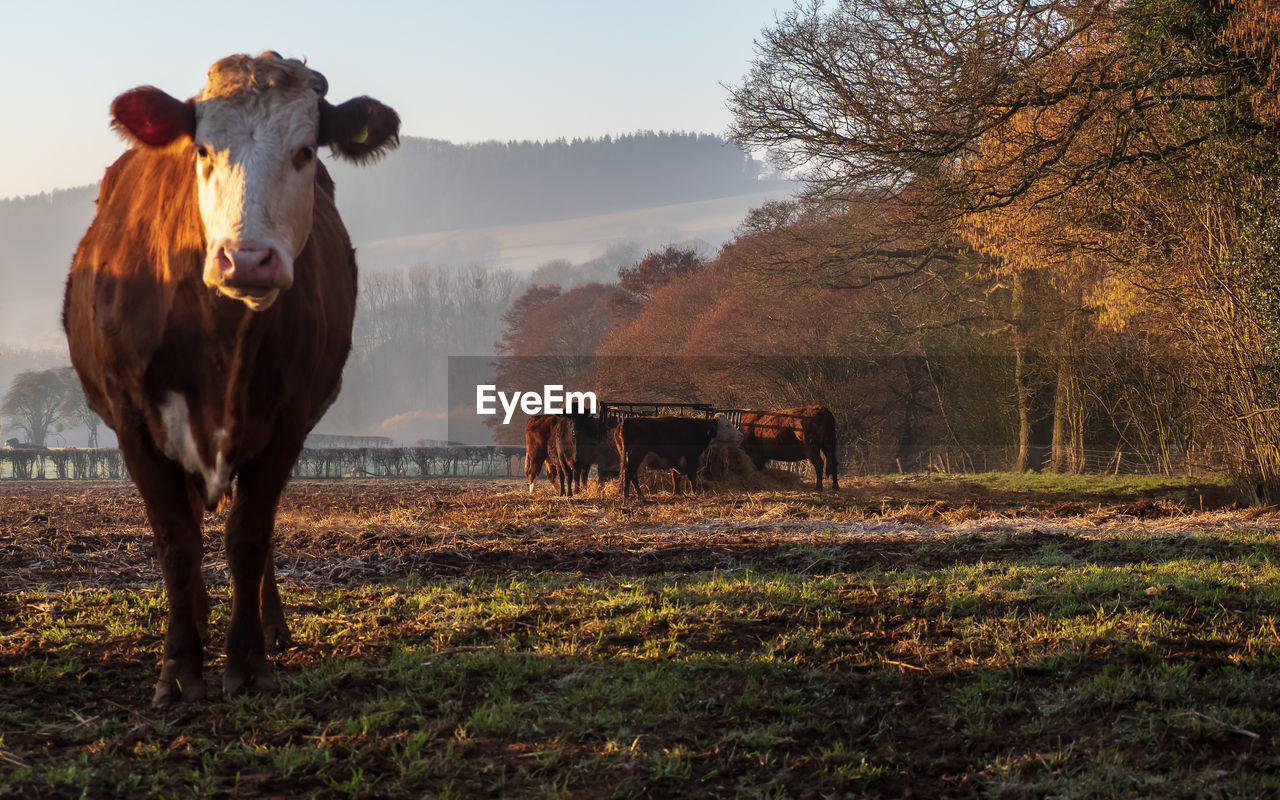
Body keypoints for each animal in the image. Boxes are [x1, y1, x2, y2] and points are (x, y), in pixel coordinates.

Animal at [60, 51, 396, 706]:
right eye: (202, 150)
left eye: (305, 151)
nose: (247, 258)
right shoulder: (133, 423)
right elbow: (177, 542)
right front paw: (179, 666)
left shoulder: (288, 421)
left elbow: (248, 537)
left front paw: (246, 661)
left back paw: (269, 625)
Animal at [614, 414, 747, 496]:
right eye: (727, 425)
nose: (741, 436)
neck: (699, 429)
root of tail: (627, 420)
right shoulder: (692, 458)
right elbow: (692, 476)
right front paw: (695, 492)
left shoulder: (676, 459)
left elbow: (676, 478)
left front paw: (676, 493)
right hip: (635, 457)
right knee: (628, 474)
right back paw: (626, 495)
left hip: (632, 458)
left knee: (631, 476)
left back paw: (640, 495)